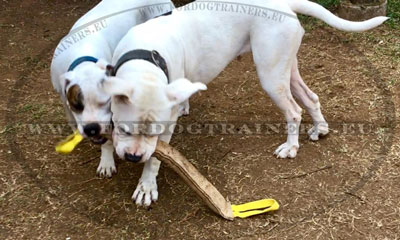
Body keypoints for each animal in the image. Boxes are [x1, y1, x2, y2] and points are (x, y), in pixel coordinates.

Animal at [50, 0, 174, 178]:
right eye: (77, 105)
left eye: (107, 102)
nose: (92, 128)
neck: (83, 60)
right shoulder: (62, 95)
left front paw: (106, 162)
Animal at [101, 0, 390, 206]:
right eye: (123, 129)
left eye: (155, 133)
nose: (133, 157)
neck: (145, 59)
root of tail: (283, 3)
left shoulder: (166, 125)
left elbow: (156, 157)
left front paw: (146, 186)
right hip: (286, 69)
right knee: (310, 97)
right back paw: (320, 128)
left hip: (270, 74)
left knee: (294, 110)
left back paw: (291, 147)